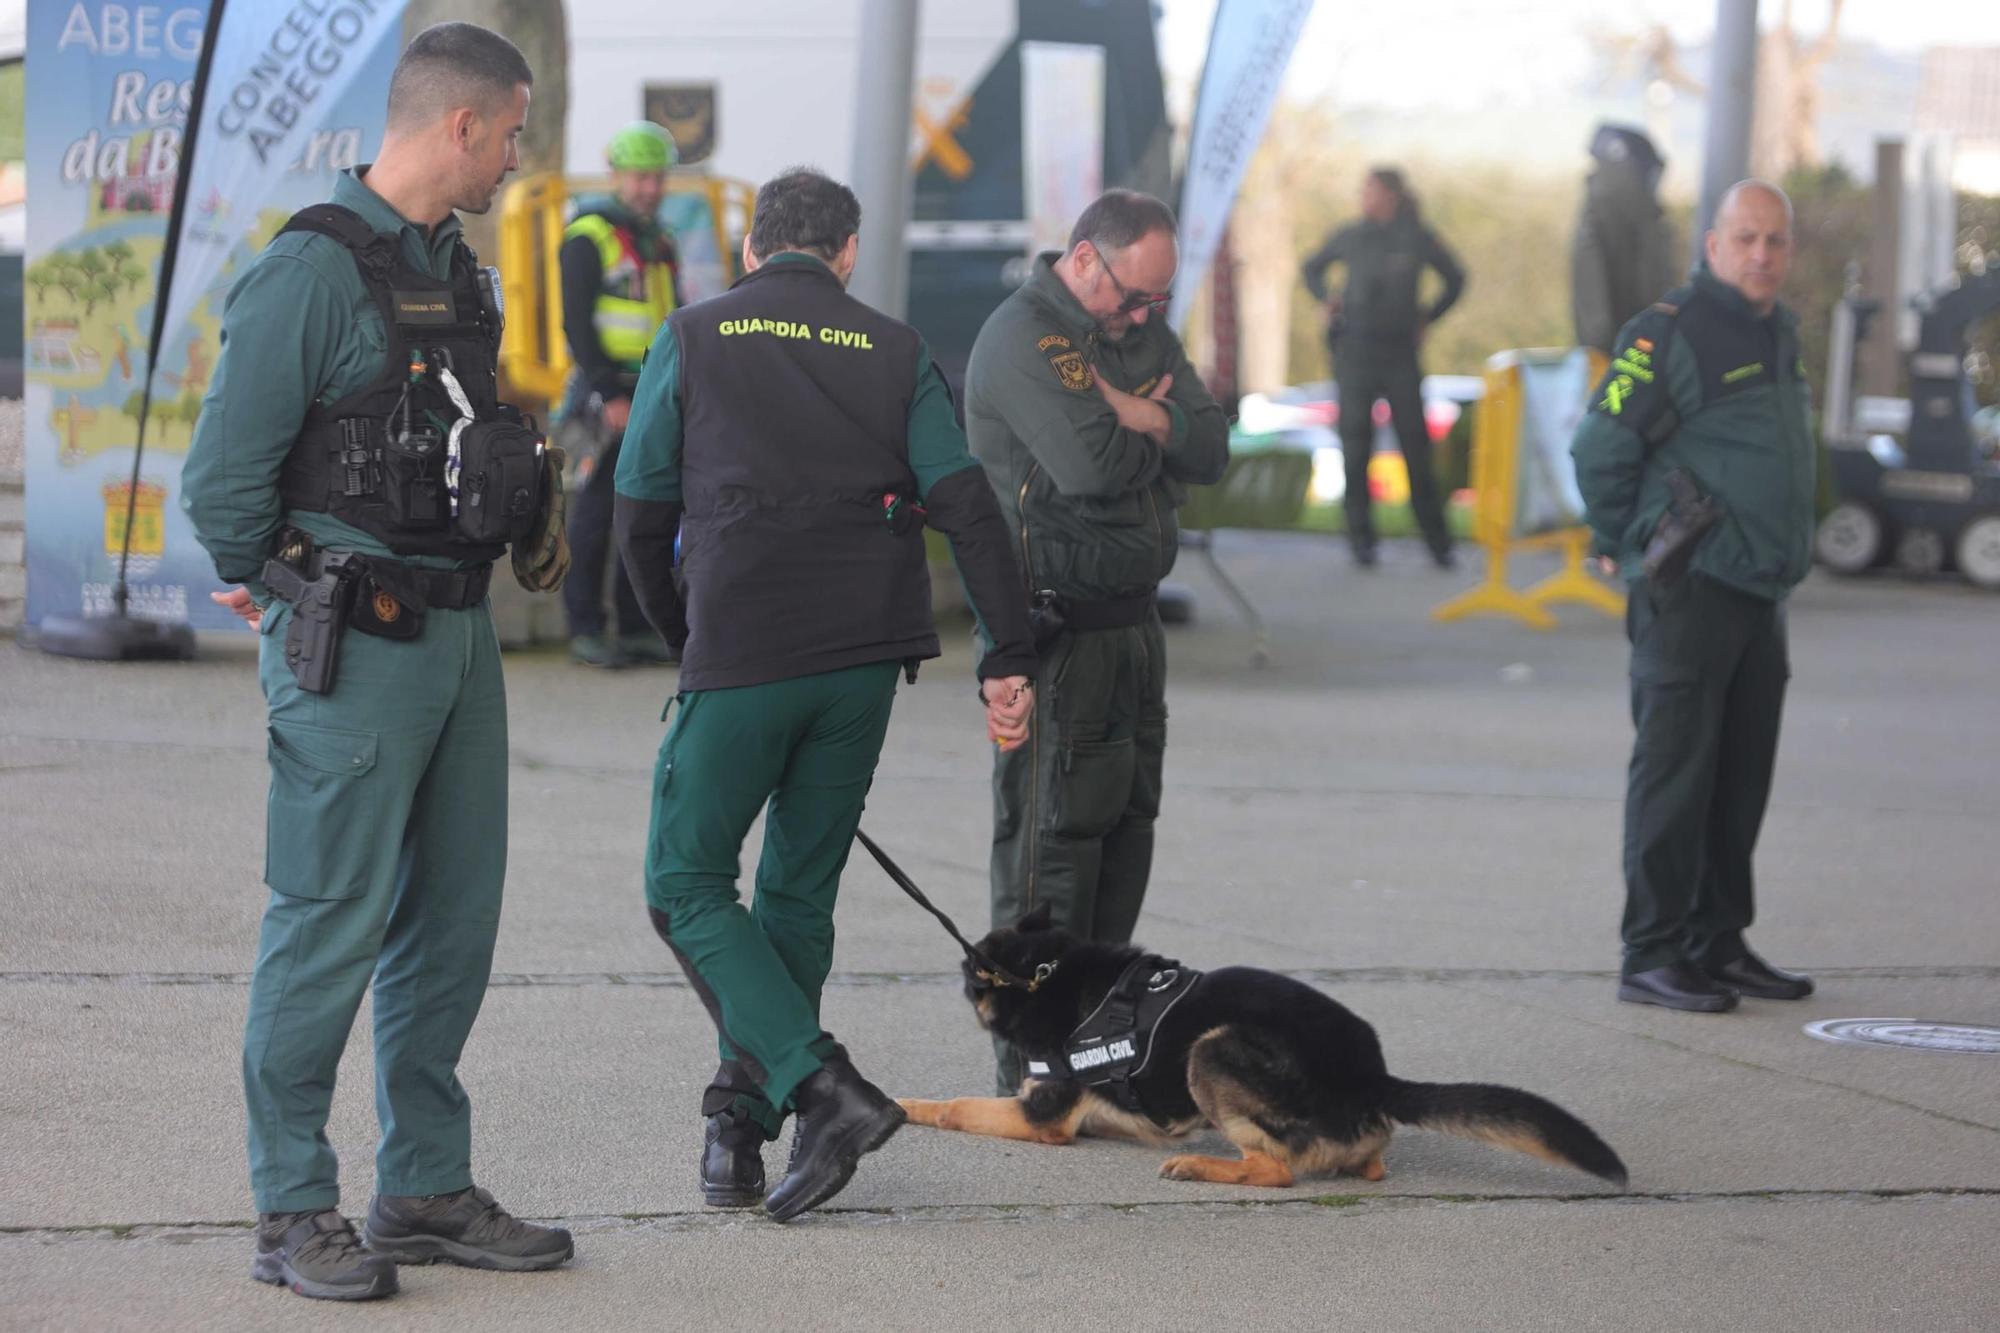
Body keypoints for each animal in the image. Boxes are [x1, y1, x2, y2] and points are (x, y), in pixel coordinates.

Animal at [900, 908, 1632, 1184]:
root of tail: (1373, 1074)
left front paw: (901, 1104)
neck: (1045, 970)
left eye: (966, 976)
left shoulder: (1042, 1116)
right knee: (1367, 1162)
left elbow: (953, 1104)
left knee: (1275, 1168)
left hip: (1212, 1049)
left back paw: (1203, 1166)